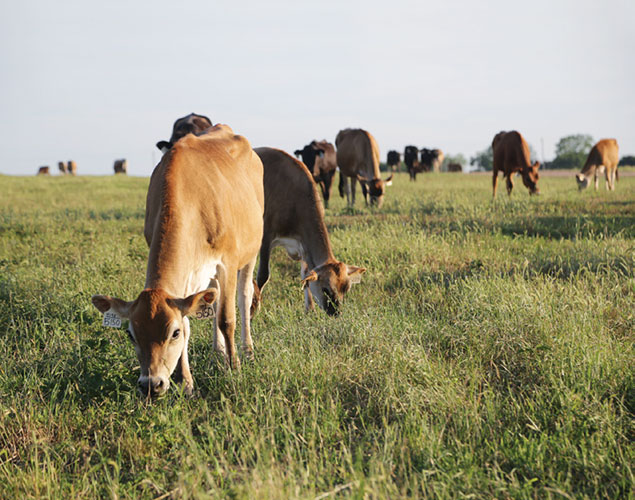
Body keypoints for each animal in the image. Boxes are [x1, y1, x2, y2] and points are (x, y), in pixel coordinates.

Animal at [91, 125, 264, 398]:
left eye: (173, 333)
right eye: (131, 335)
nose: (151, 384)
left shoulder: (227, 262)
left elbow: (227, 319)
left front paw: (234, 369)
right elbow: (190, 319)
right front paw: (187, 383)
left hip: (251, 251)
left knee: (244, 297)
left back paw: (247, 351)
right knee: (213, 299)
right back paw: (217, 353)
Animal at [252, 146, 366, 316]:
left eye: (346, 289)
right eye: (326, 289)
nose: (337, 313)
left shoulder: (303, 246)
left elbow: (305, 276)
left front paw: (309, 310)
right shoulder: (266, 237)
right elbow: (263, 275)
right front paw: (254, 310)